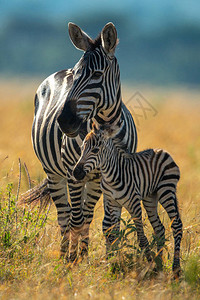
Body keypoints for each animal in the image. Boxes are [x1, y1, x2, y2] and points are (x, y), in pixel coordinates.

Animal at [31, 22, 138, 258]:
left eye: (97, 74)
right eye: (76, 74)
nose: (65, 121)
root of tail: (57, 73)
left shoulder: (113, 176)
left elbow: (110, 225)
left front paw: (111, 260)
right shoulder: (73, 173)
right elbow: (76, 220)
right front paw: (73, 260)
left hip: (92, 180)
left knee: (86, 215)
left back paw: (82, 253)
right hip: (54, 173)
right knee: (66, 217)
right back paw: (65, 256)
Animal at [73, 123, 183, 276]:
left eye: (95, 150)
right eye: (82, 148)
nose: (75, 173)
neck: (110, 177)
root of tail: (163, 151)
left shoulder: (134, 204)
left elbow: (141, 238)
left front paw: (149, 263)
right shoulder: (113, 204)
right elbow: (114, 235)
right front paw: (114, 264)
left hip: (166, 189)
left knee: (176, 225)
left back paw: (176, 269)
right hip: (150, 197)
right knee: (159, 228)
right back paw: (159, 265)